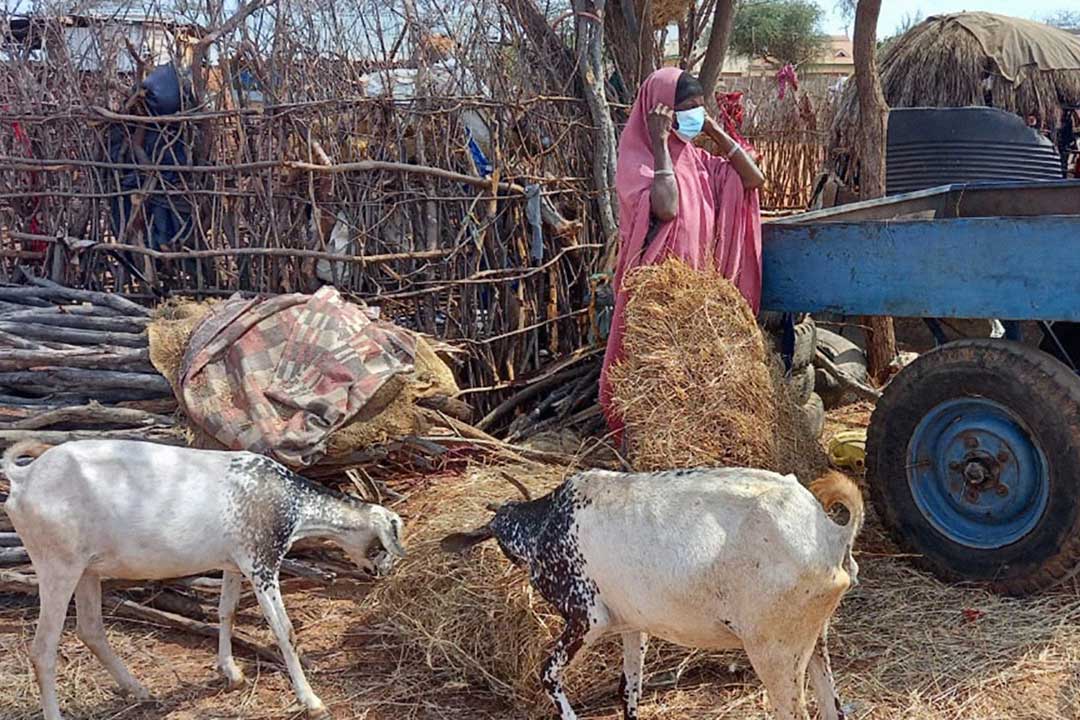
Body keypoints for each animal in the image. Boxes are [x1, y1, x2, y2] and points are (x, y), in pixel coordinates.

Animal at [2, 440, 406, 720]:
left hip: (87, 570)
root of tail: (24, 478)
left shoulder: (233, 563)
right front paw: (311, 700)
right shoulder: (261, 564)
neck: (290, 503)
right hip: (57, 567)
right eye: (385, 543)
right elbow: (284, 631)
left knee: (90, 630)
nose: (381, 573)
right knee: (43, 649)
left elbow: (226, 611)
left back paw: (141, 691)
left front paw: (231, 672)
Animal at [442, 468, 864, 720]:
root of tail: (829, 532)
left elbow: (548, 674)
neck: (549, 524)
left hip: (775, 651)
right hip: (814, 642)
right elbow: (629, 687)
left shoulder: (586, 617)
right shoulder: (634, 624)